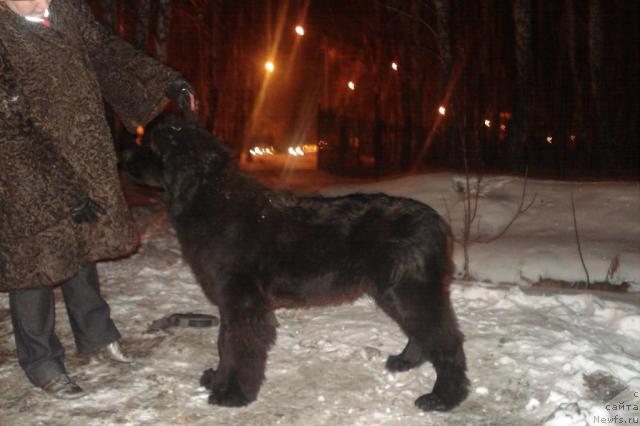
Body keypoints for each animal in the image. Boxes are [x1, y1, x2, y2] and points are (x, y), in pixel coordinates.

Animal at [145, 115, 468, 412]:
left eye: (147, 144)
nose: (131, 158)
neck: (211, 195)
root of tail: (438, 223)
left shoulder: (243, 303)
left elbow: (236, 347)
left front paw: (233, 394)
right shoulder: (232, 302)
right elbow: (224, 344)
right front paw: (217, 380)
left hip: (411, 292)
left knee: (446, 341)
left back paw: (444, 398)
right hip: (396, 294)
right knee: (424, 334)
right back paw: (405, 361)